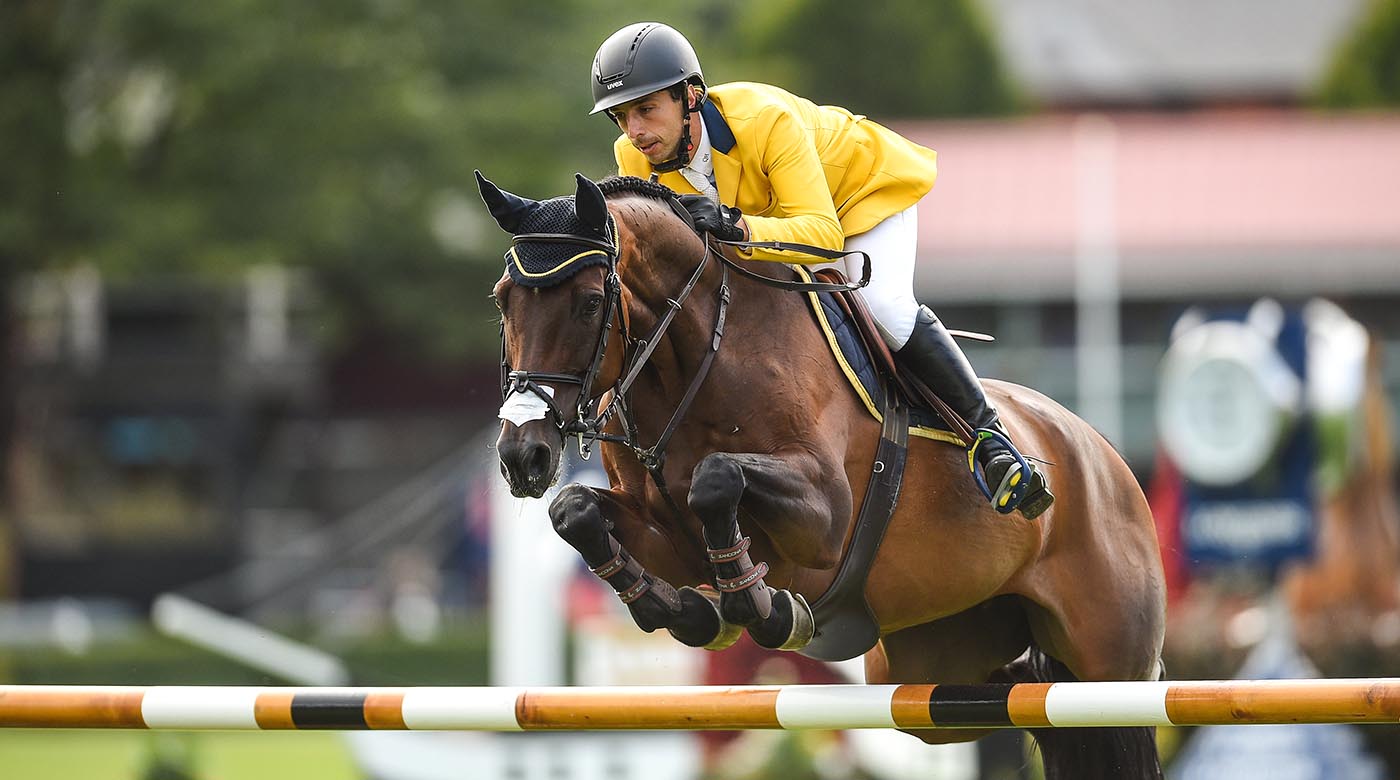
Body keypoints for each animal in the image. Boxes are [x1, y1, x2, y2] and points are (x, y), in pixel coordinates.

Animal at [478, 170, 1167, 779]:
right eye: (502, 301)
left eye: (591, 303)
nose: (522, 455)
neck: (694, 361)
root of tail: (1105, 458)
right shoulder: (663, 531)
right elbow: (576, 510)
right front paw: (681, 610)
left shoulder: (826, 517)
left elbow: (716, 479)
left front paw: (761, 608)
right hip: (929, 672)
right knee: (1012, 698)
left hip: (1111, 668)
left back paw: (1005, 469)